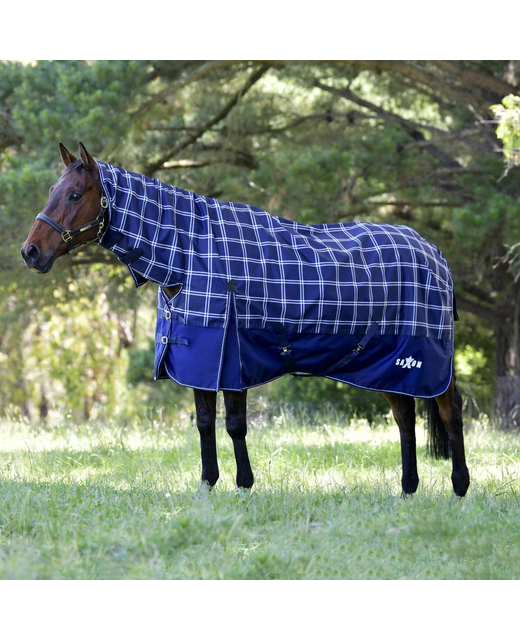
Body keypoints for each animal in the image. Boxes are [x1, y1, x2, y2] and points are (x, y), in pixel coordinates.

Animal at [20, 142, 470, 497]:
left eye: (74, 194)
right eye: (53, 191)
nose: (30, 252)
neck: (190, 256)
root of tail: (436, 254)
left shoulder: (232, 357)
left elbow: (236, 425)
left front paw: (244, 485)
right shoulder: (197, 361)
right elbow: (204, 424)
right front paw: (207, 483)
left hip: (427, 361)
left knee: (449, 411)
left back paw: (460, 487)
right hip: (389, 365)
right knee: (405, 418)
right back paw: (408, 489)